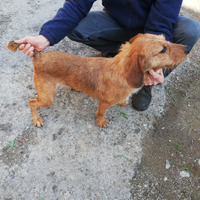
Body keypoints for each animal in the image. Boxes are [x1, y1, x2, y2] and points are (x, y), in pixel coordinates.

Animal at [7, 32, 190, 126]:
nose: (188, 48)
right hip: (47, 97)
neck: (121, 71)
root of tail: (38, 57)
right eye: (163, 49)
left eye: (166, 39)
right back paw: (36, 119)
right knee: (32, 102)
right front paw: (101, 121)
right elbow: (101, 112)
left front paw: (123, 101)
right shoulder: (104, 102)